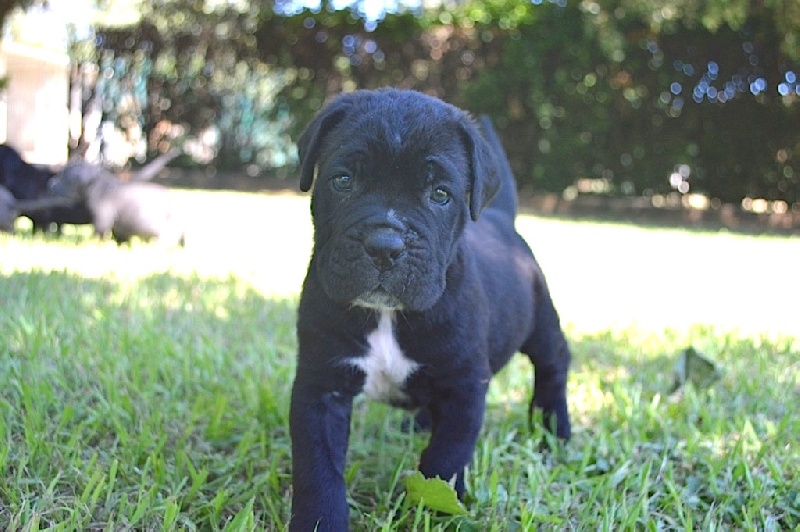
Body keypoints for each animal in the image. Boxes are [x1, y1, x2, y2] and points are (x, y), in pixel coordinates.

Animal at [290, 89, 572, 528]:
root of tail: (500, 218)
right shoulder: (320, 385)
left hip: (540, 322)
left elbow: (446, 459)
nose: (384, 245)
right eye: (343, 180)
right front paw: (320, 521)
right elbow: (318, 467)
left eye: (440, 194)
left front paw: (433, 512)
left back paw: (554, 427)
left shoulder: (463, 386)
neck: (386, 316)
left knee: (554, 362)